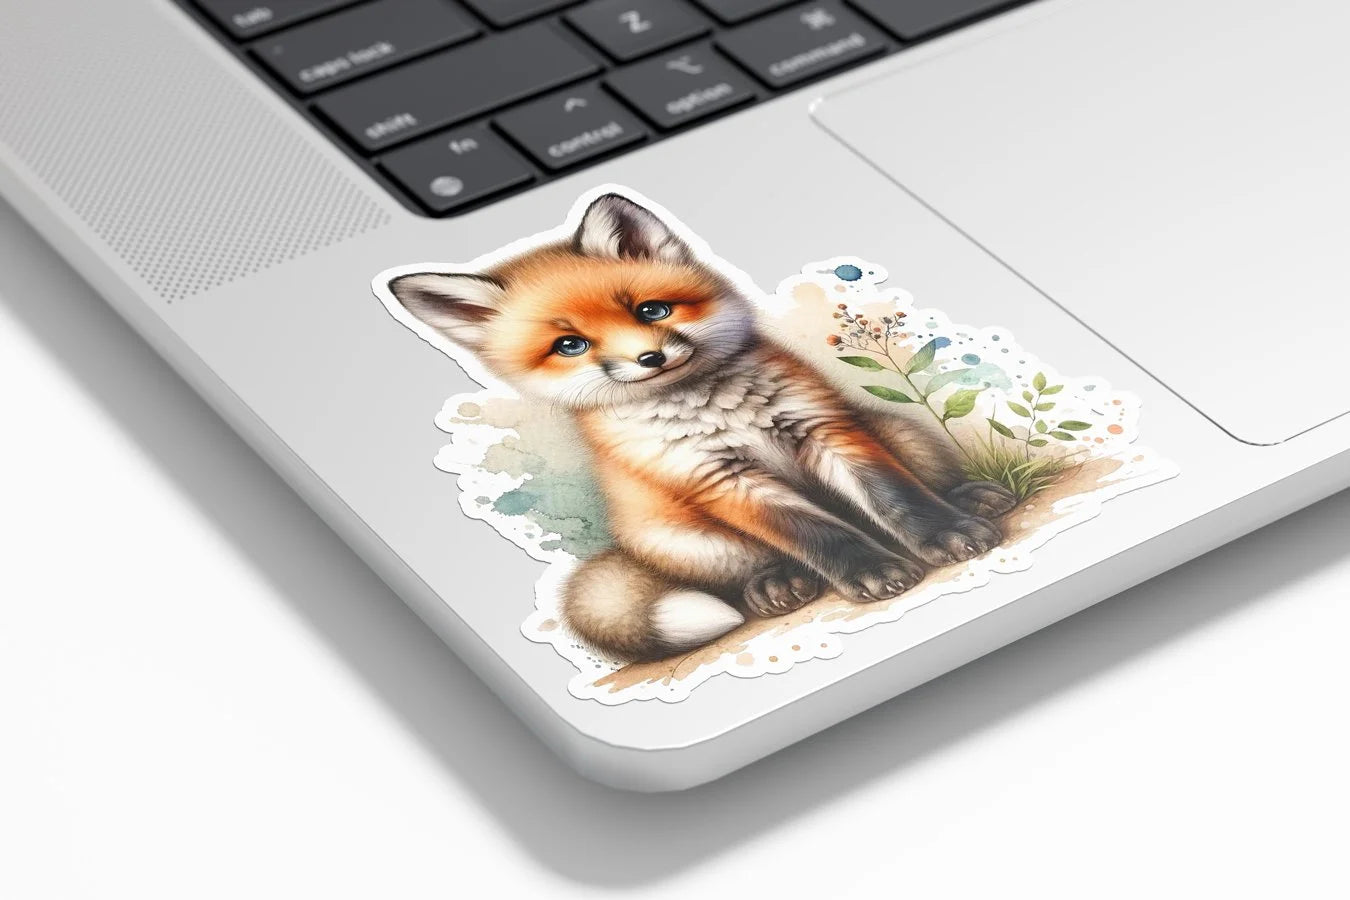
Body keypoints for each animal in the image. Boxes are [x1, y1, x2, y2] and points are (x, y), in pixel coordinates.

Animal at [388, 193, 1017, 662]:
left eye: (651, 311)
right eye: (569, 345)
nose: (649, 358)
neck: (719, 412)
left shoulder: (823, 429)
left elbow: (896, 499)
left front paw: (946, 535)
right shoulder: (718, 479)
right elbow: (818, 535)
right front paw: (873, 570)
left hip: (903, 433)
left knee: (924, 481)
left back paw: (974, 496)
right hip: (689, 540)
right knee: (760, 569)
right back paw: (776, 585)